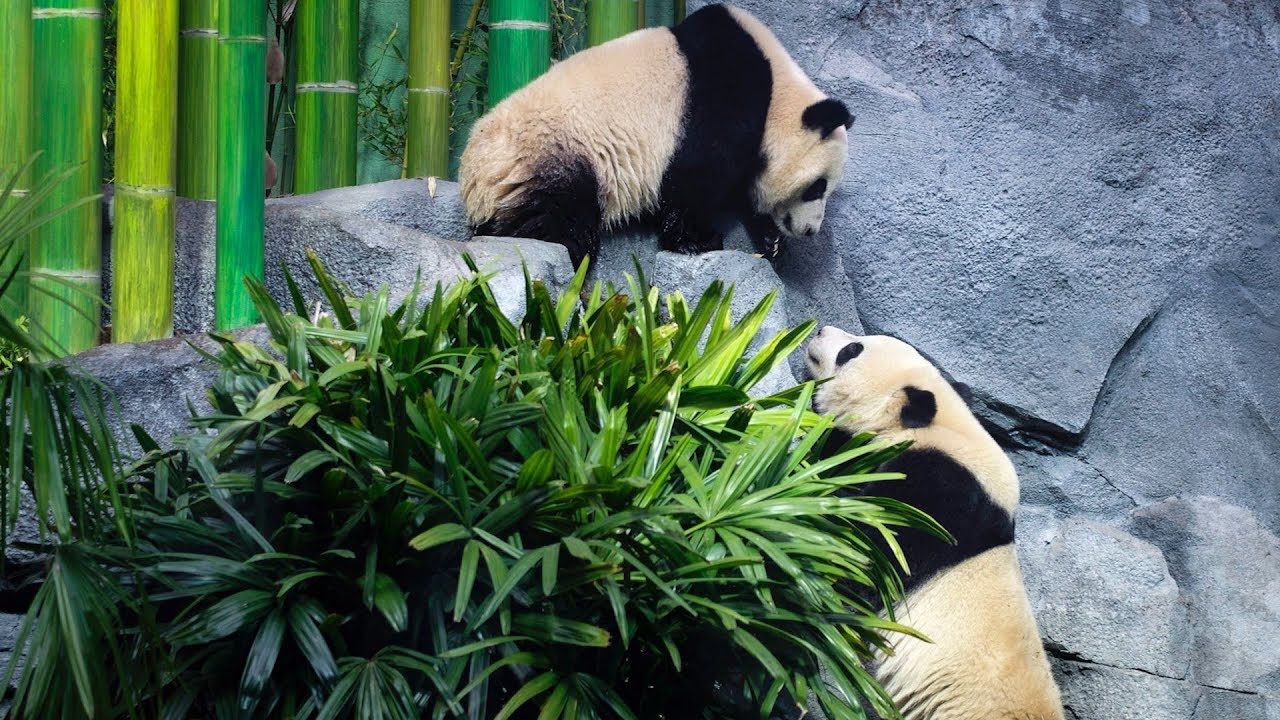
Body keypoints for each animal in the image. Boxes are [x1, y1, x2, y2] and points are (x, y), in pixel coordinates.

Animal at [457, 3, 852, 267]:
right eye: (817, 187)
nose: (810, 231)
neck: (777, 90)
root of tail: (473, 176)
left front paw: (770, 241)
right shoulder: (724, 95)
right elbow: (698, 176)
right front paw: (698, 241)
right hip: (550, 156)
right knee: (553, 221)